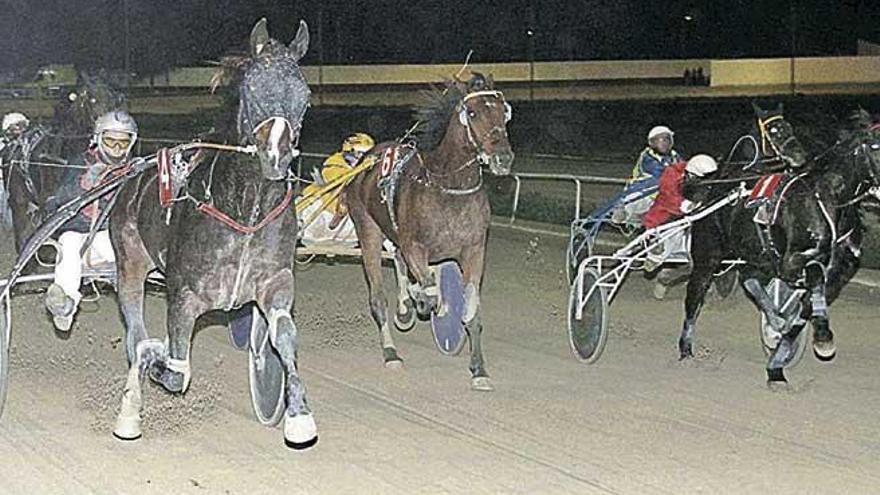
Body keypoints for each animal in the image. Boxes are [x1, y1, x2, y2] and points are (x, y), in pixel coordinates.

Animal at [109, 19, 316, 448]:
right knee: (135, 333)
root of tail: (132, 176)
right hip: (128, 261)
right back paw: (130, 408)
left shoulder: (276, 282)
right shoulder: (184, 294)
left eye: (304, 95)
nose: (277, 156)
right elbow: (173, 369)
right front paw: (158, 359)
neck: (245, 208)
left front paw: (299, 415)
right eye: (252, 87)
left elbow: (285, 338)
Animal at [344, 73, 516, 392]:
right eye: (473, 113)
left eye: (504, 111)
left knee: (398, 263)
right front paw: (421, 299)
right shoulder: (416, 247)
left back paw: (404, 309)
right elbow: (431, 291)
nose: (502, 158)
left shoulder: (474, 250)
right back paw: (391, 351)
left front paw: (479, 370)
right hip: (367, 230)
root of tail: (368, 159)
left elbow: (471, 310)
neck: (449, 187)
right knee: (378, 297)